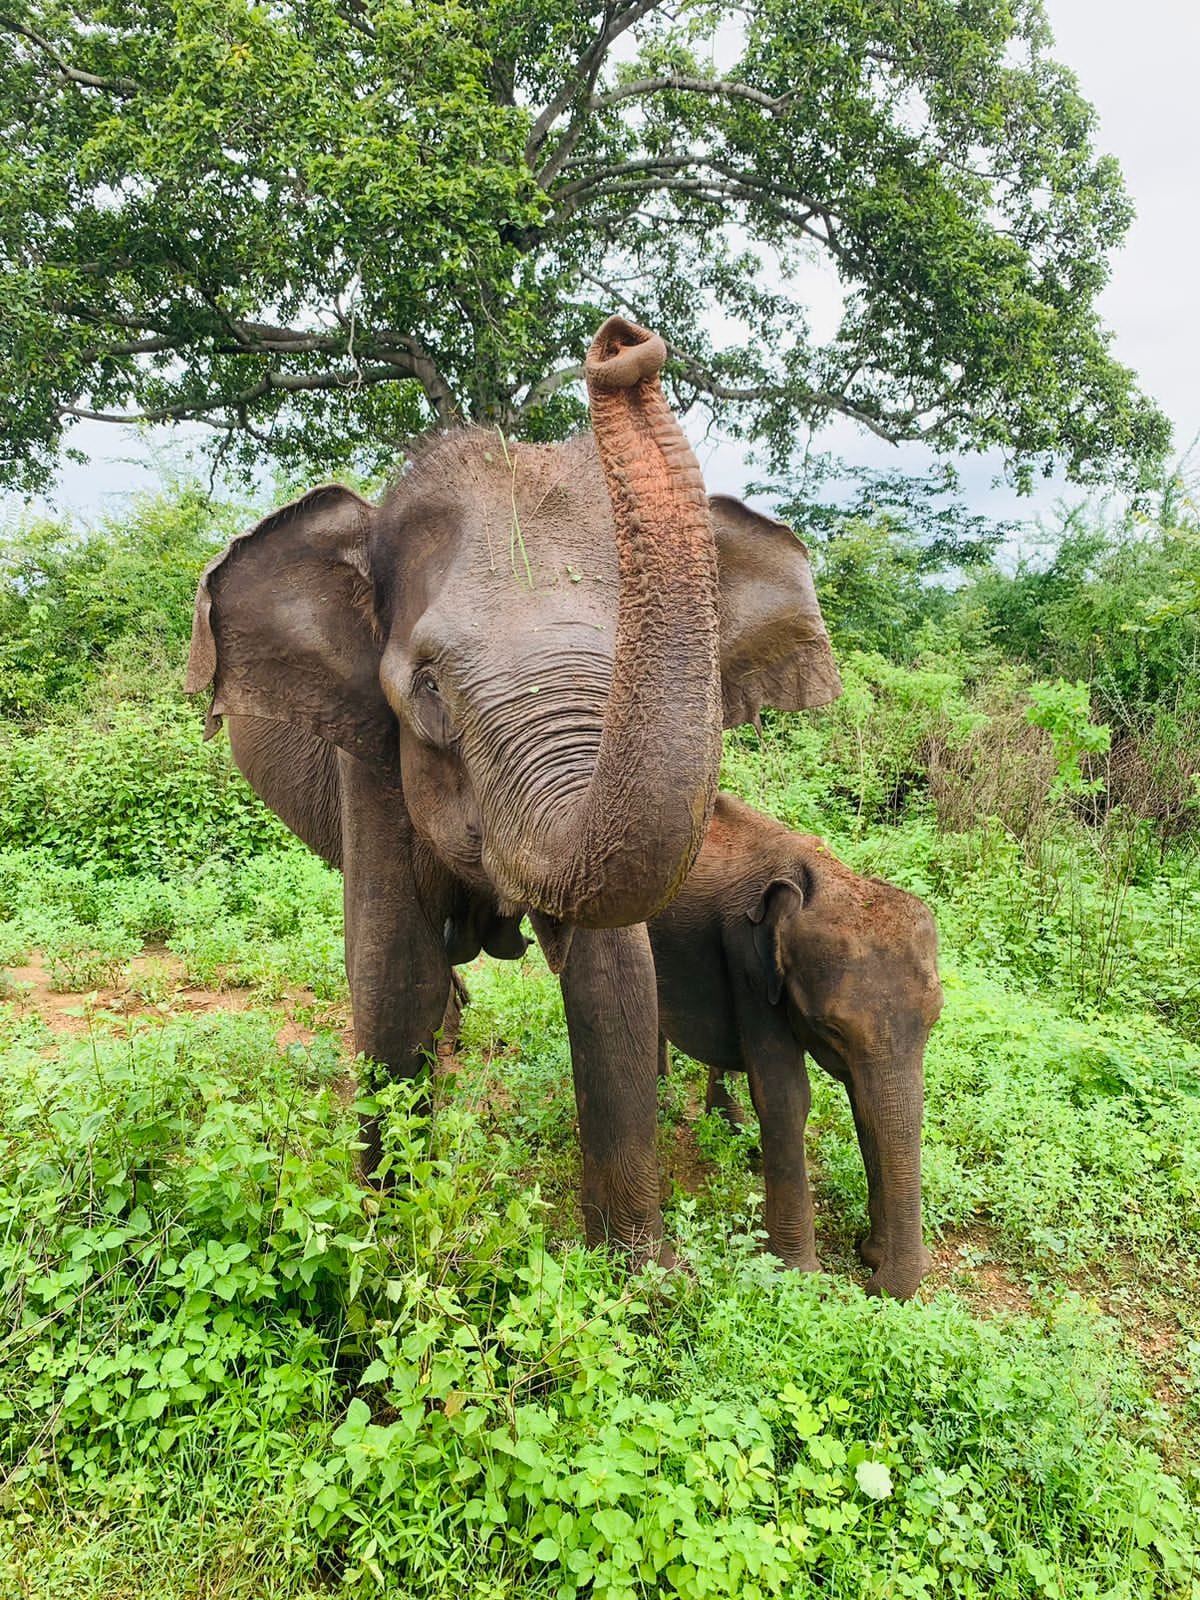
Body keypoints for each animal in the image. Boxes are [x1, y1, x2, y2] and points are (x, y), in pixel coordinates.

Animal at [186, 315, 841, 1266]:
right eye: (427, 688)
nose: (621, 345)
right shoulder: (371, 760)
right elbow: (392, 980)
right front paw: (388, 1230)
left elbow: (616, 987)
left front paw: (638, 1272)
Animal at [651, 793, 942, 1299]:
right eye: (832, 1029)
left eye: (935, 1019)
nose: (874, 1286)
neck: (830, 876)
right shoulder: (749, 963)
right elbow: (786, 1098)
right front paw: (798, 1275)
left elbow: (866, 1102)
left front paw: (873, 1255)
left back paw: (728, 1128)